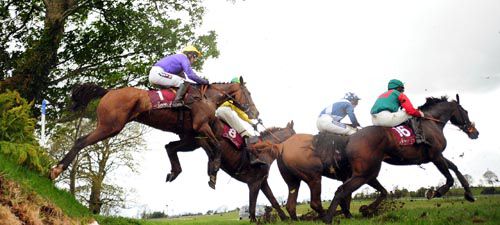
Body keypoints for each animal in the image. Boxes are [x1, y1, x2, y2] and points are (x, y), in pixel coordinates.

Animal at [322, 95, 478, 223]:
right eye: (466, 111)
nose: (475, 133)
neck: (432, 123)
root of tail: (350, 138)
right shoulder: (436, 156)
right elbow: (450, 179)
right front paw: (435, 192)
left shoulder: (438, 155)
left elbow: (455, 167)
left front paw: (470, 195)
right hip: (364, 173)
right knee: (342, 190)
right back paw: (329, 218)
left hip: (368, 172)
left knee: (365, 191)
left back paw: (358, 211)